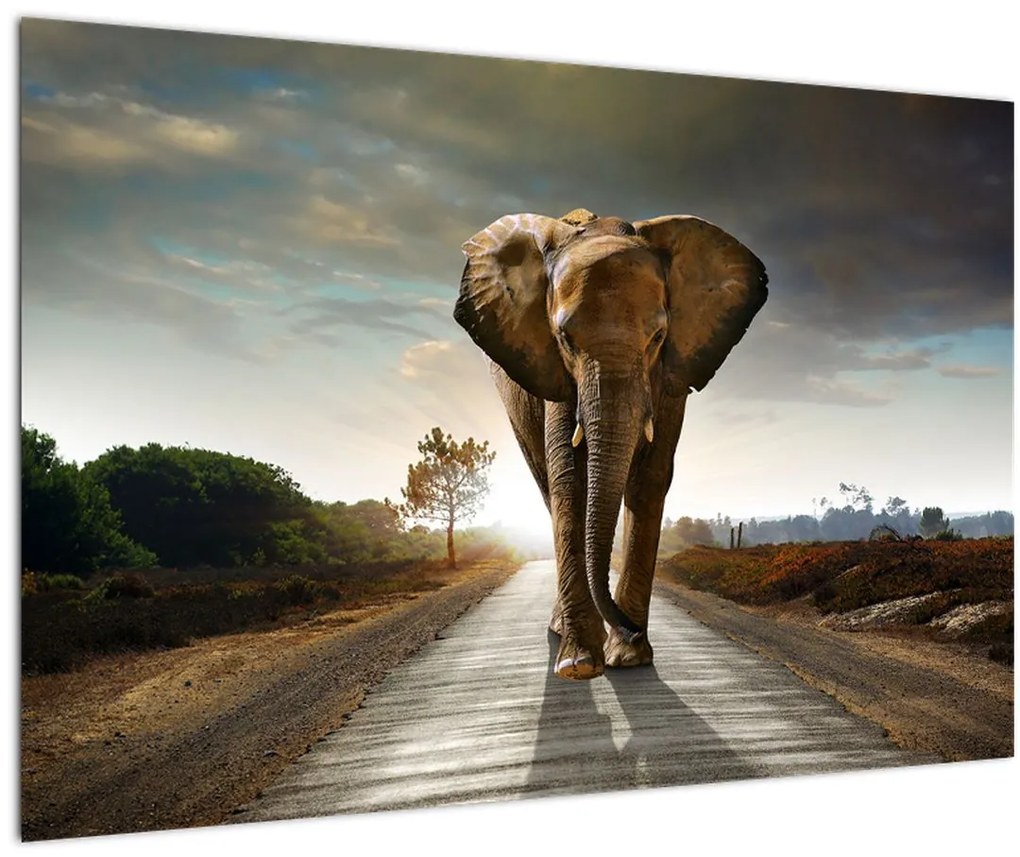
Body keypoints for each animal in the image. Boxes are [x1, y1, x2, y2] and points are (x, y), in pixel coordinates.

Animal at [454, 208, 767, 680]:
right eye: (564, 339)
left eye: (658, 338)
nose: (631, 628)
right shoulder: (554, 372)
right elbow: (569, 478)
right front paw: (581, 663)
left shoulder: (672, 373)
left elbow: (651, 478)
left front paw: (630, 657)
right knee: (547, 486)